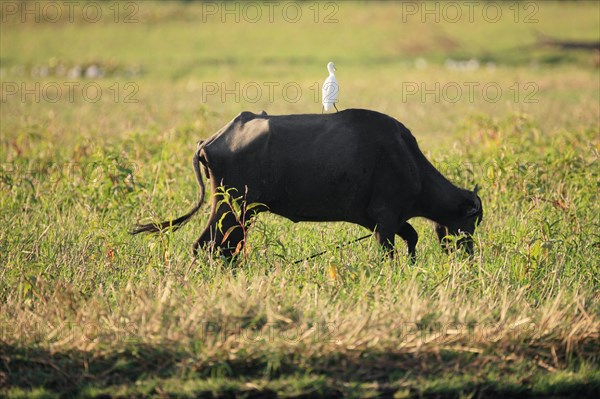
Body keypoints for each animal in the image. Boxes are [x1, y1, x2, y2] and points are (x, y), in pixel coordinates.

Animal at [132, 109, 482, 260]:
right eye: (471, 220)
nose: (469, 254)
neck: (407, 159)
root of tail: (210, 141)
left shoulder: (383, 220)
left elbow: (411, 237)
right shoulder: (386, 220)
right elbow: (393, 249)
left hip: (239, 212)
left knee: (225, 247)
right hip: (232, 208)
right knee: (209, 245)